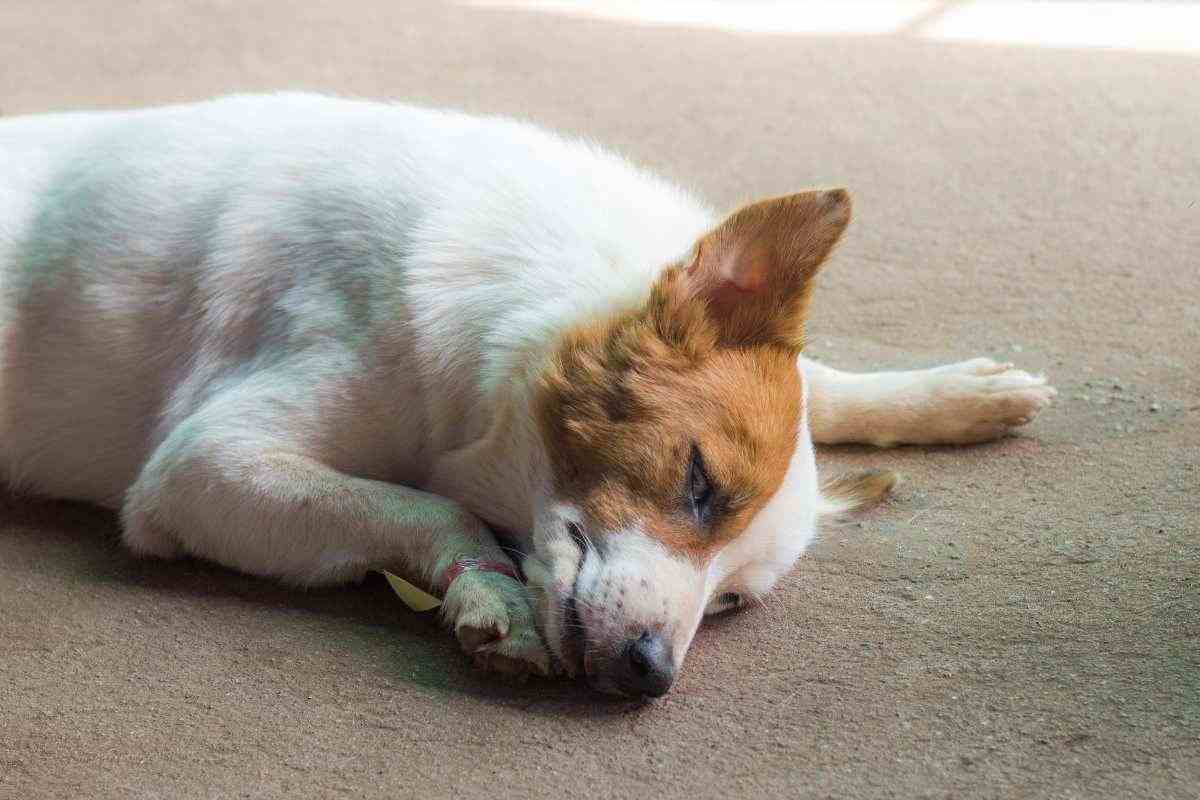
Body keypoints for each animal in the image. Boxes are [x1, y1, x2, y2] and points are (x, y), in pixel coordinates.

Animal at [0, 92, 1051, 695]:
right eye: (698, 486)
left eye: (732, 604)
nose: (650, 678)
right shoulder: (200, 471)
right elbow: (420, 505)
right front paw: (493, 594)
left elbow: (821, 384)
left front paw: (957, 396)